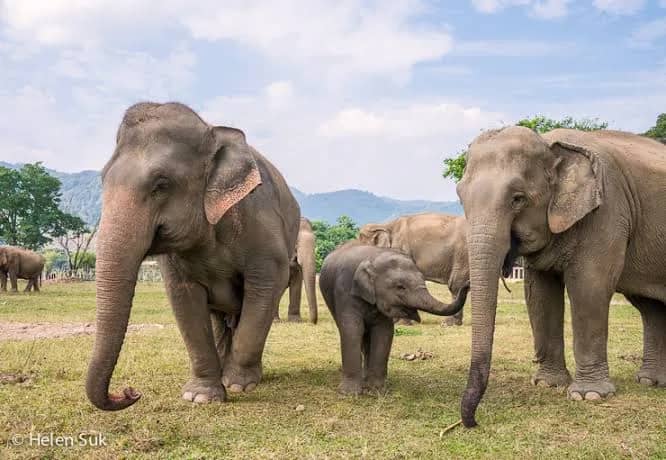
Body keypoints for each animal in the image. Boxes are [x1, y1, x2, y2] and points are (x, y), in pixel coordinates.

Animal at [86, 102, 300, 411]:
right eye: (103, 180)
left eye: (161, 184)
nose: (130, 392)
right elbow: (184, 299)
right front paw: (201, 396)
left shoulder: (260, 222)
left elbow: (266, 284)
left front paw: (238, 385)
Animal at [319, 241, 469, 395]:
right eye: (400, 287)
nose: (467, 284)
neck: (374, 257)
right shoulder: (345, 292)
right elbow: (352, 330)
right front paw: (349, 394)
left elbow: (384, 332)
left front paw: (377, 391)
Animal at [456, 126, 666, 427]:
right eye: (461, 197)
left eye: (518, 198)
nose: (472, 422)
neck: (550, 144)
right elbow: (540, 295)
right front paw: (548, 385)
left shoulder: (607, 212)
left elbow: (589, 287)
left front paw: (589, 395)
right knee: (650, 307)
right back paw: (651, 382)